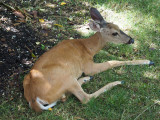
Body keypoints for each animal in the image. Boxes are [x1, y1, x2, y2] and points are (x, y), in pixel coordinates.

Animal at [22, 7, 154, 112]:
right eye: (114, 33)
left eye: (118, 27)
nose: (131, 40)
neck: (87, 48)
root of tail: (33, 100)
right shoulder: (87, 65)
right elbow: (112, 62)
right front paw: (148, 61)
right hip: (65, 77)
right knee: (85, 98)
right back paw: (116, 82)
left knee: (66, 96)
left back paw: (86, 79)